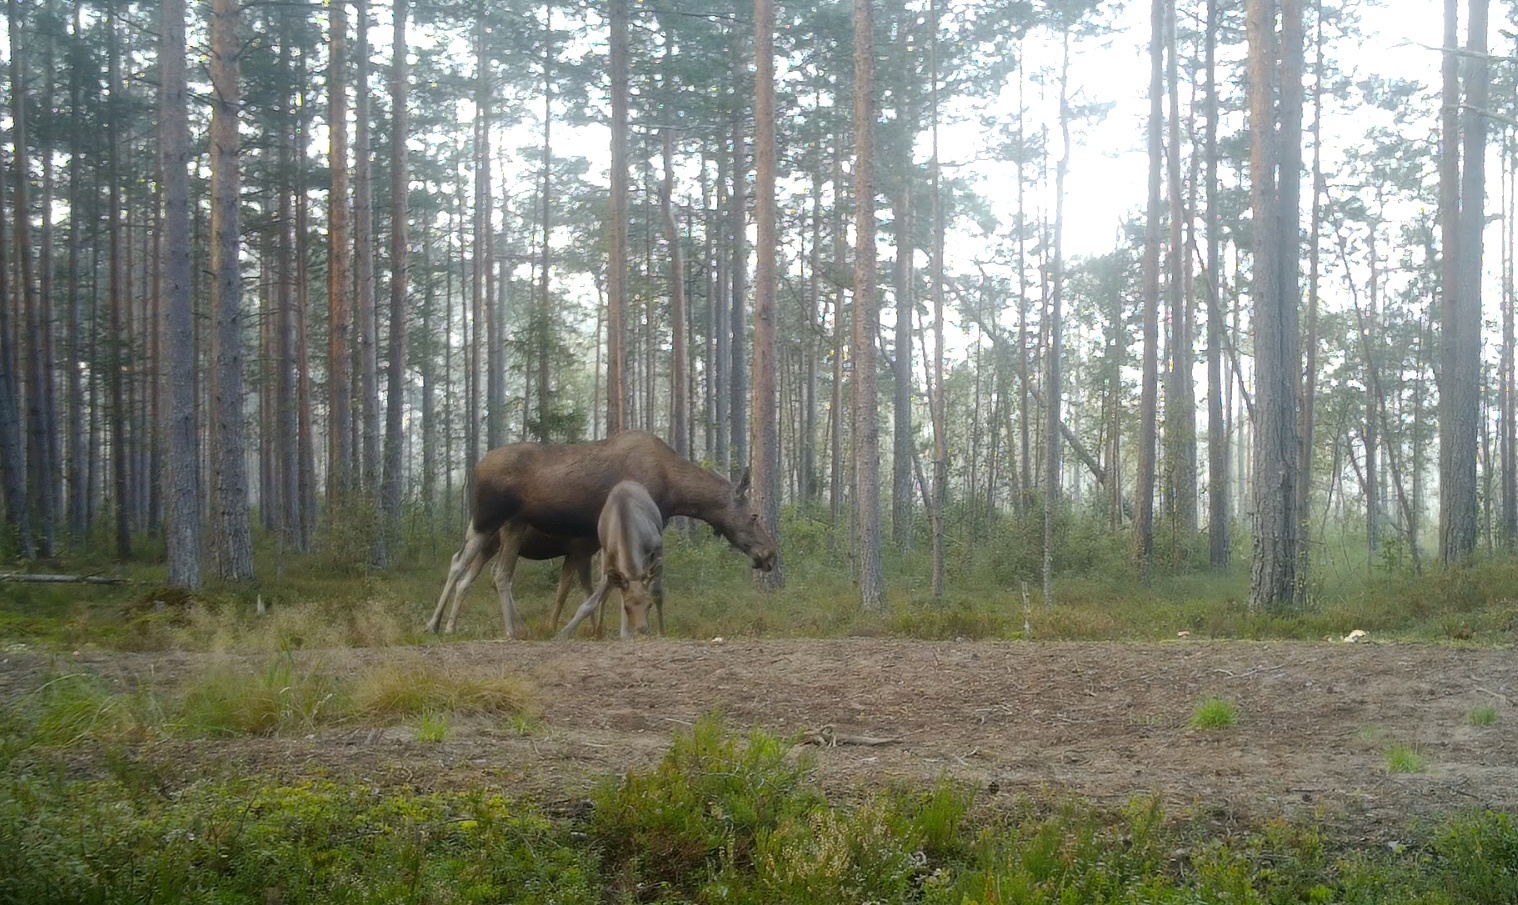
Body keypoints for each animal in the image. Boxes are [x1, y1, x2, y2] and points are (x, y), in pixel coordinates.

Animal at [434, 428, 777, 637]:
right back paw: (446, 624)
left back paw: (454, 625)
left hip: (510, 526)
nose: (770, 553)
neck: (676, 491)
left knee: (486, 570)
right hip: (488, 519)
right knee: (462, 564)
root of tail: (475, 467)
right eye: (754, 515)